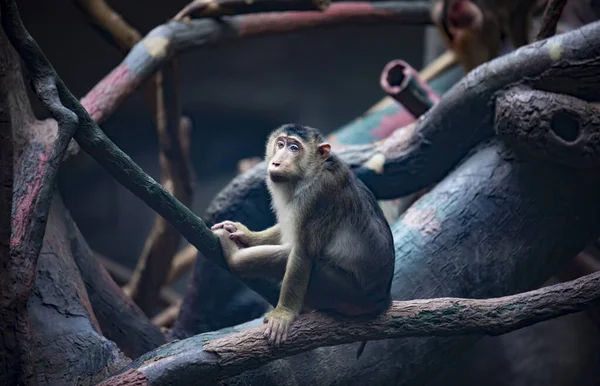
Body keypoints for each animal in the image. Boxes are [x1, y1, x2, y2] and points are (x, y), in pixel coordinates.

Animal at [213, 123, 396, 352]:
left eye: (294, 148)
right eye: (280, 144)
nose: (276, 161)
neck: (313, 172)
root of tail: (382, 299)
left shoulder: (318, 196)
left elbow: (302, 251)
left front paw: (283, 315)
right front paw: (245, 234)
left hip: (348, 293)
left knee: (289, 258)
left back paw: (233, 259)